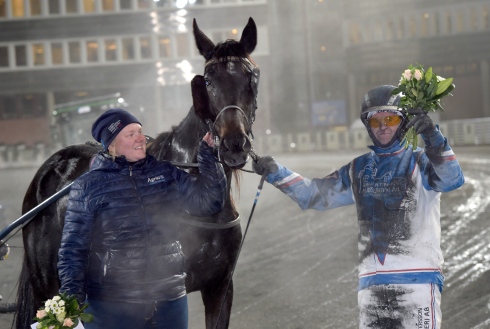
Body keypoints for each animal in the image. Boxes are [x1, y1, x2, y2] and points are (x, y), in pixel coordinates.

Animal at [13, 17, 260, 328]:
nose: (234, 144)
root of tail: (52, 166)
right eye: (208, 80)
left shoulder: (220, 288)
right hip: (46, 286)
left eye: (251, 77)